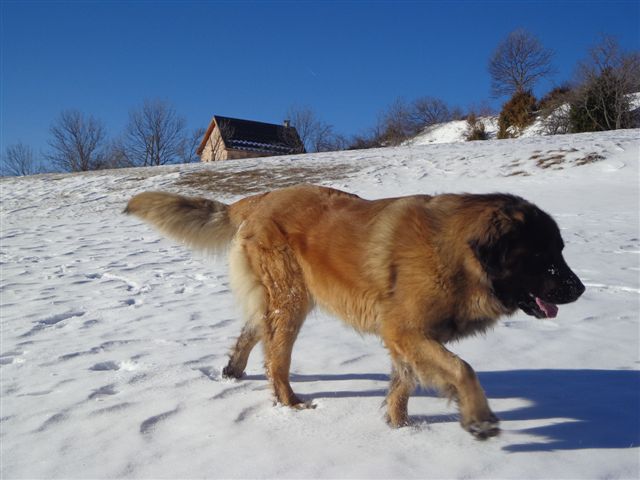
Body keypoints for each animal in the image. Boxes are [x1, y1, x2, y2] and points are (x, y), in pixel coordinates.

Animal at [126, 183, 584, 438]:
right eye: (542, 256)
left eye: (560, 251)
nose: (578, 289)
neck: (455, 252)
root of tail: (260, 199)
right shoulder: (405, 330)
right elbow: (462, 369)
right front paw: (479, 420)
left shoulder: (408, 338)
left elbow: (403, 384)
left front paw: (401, 430)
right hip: (291, 300)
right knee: (276, 359)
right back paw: (291, 405)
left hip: (282, 299)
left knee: (255, 333)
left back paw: (231, 373)